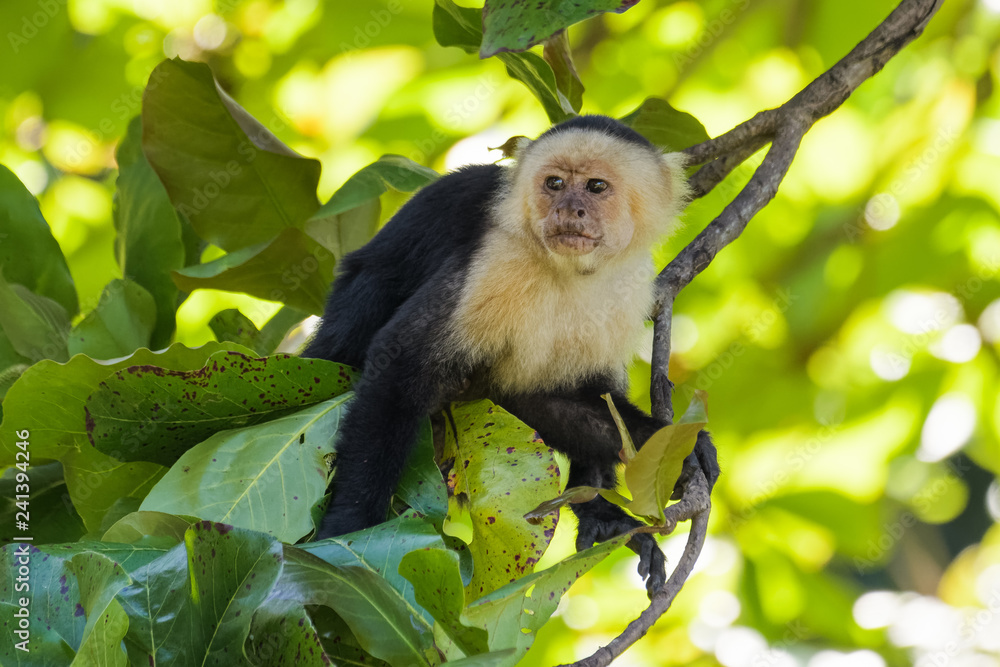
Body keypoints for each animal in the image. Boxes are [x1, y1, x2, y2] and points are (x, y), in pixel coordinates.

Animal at [302, 115, 719, 594]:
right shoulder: (496, 260)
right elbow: (401, 364)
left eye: (595, 187)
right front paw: (350, 523)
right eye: (555, 183)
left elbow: (570, 401)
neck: (566, 270)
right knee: (370, 290)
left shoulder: (630, 285)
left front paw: (679, 447)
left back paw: (599, 513)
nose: (569, 210)